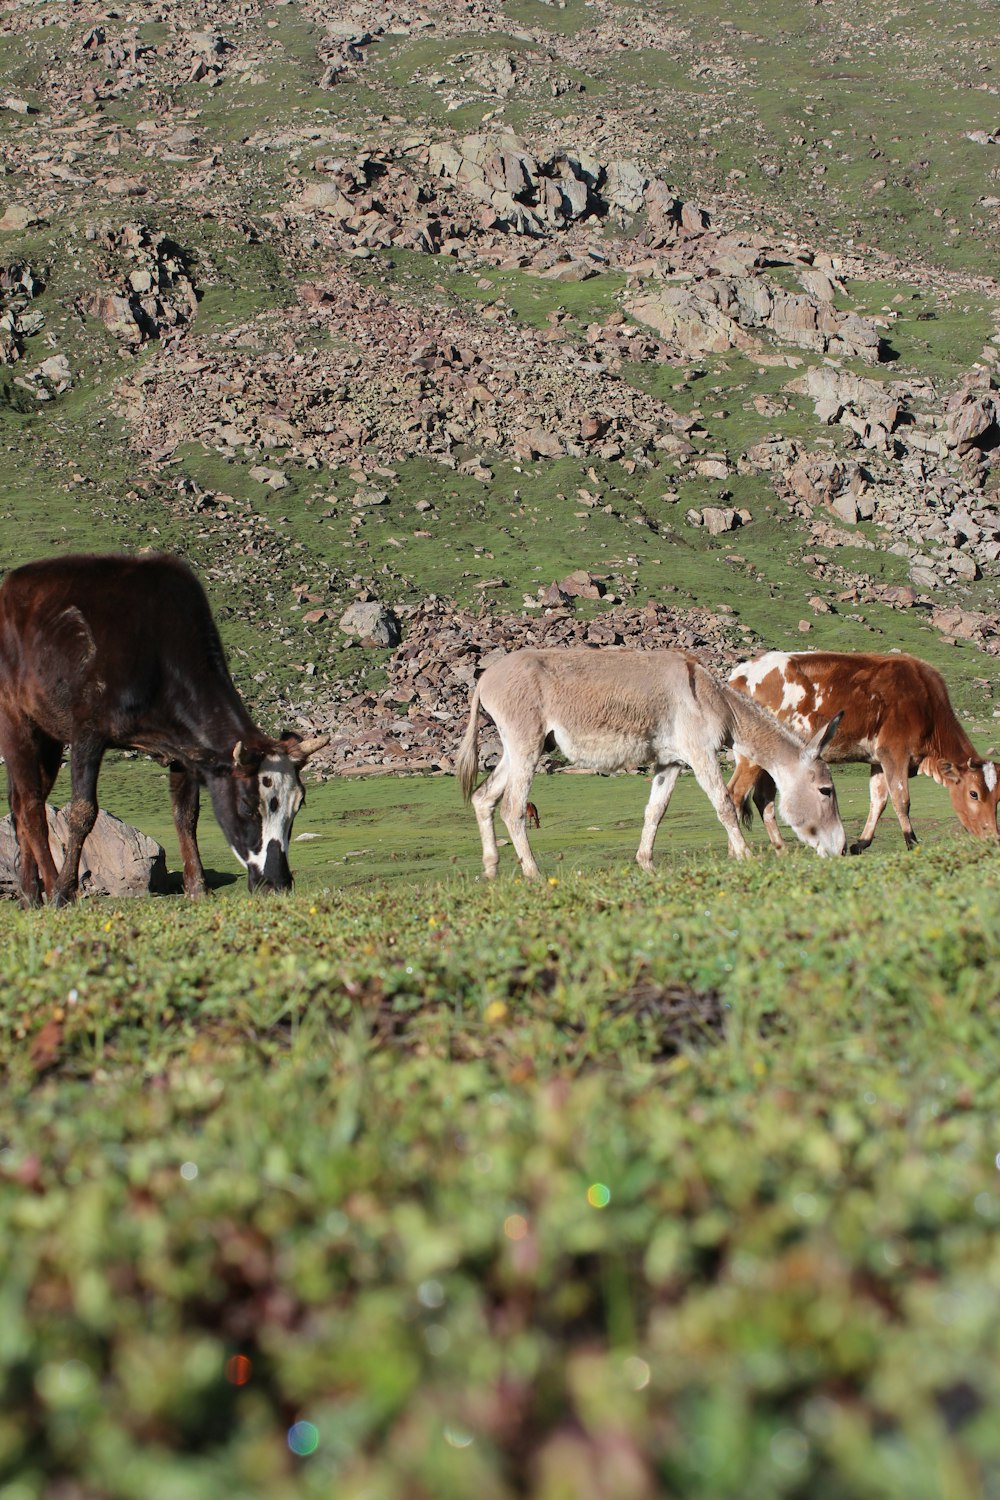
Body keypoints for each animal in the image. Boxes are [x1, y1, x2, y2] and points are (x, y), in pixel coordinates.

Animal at [0, 552, 328, 900]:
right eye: (249, 806)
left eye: (298, 805)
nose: (278, 883)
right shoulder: (87, 731)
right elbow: (82, 811)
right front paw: (64, 893)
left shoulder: (185, 750)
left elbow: (186, 815)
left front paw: (198, 888)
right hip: (14, 718)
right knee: (31, 806)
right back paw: (49, 886)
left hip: (48, 737)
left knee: (20, 803)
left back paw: (30, 895)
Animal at [728, 648, 1000, 858]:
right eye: (974, 794)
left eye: (998, 797)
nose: (994, 838)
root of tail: (740, 673)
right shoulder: (894, 753)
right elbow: (901, 800)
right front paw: (911, 841)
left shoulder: (878, 760)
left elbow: (878, 800)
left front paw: (861, 843)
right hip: (750, 757)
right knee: (734, 794)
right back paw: (738, 853)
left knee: (762, 799)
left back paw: (781, 849)